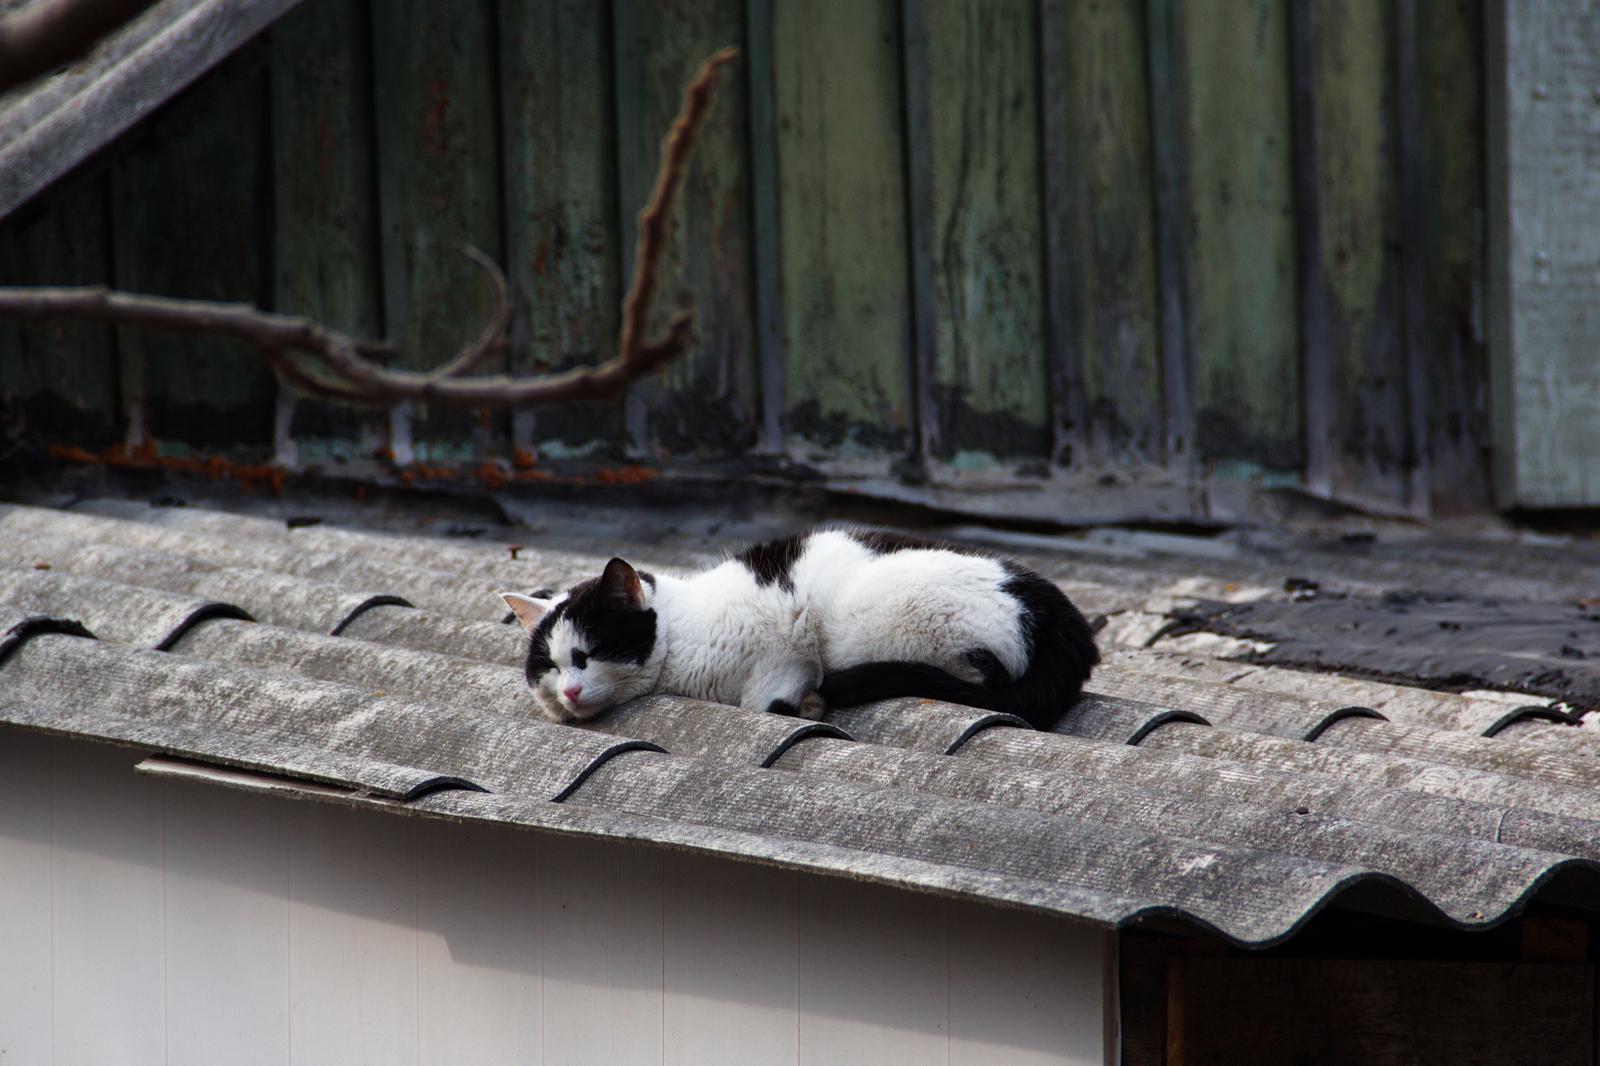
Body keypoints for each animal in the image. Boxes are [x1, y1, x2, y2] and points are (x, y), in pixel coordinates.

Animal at [499, 524, 1100, 726]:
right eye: (549, 668)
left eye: (587, 654)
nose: (570, 691)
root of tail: (1063, 614)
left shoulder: (784, 643)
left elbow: (766, 696)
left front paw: (806, 703)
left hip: (880, 615)